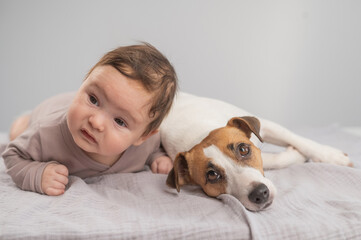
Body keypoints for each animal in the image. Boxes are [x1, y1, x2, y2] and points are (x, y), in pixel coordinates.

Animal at [159, 93, 350, 211]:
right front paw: (295, 155)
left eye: (243, 149)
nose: (259, 194)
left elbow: (299, 140)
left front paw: (332, 156)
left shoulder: (267, 127)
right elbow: (275, 159)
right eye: (212, 175)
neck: (200, 134)